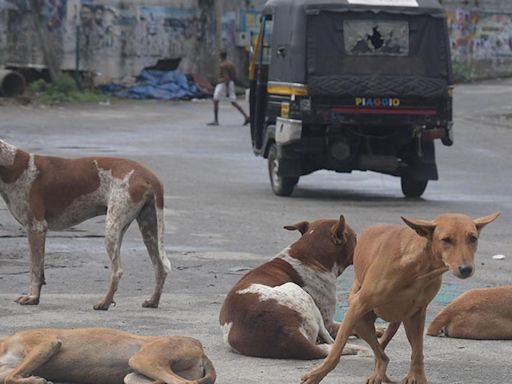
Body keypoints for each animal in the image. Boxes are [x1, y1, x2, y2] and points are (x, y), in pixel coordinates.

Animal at [0, 140, 172, 310]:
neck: (12, 166)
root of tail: (150, 176)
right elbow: (40, 270)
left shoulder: (36, 227)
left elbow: (34, 269)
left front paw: (32, 297)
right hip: (148, 228)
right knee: (160, 268)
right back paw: (152, 301)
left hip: (112, 228)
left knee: (117, 271)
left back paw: (105, 303)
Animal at [0, 328, 214, 384]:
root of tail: (201, 348)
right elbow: (9, 377)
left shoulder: (46, 344)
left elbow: (11, 377)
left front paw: (35, 380)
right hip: (132, 376)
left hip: (142, 358)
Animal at [218, 216, 366, 360]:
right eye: (355, 237)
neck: (309, 257)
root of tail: (288, 330)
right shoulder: (329, 322)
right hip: (297, 291)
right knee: (331, 341)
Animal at [300, 212, 500, 382]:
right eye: (446, 240)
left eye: (472, 238)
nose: (466, 269)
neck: (420, 268)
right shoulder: (358, 306)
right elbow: (336, 352)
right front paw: (316, 375)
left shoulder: (418, 314)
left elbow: (418, 352)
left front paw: (417, 377)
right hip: (359, 320)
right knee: (381, 352)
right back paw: (378, 373)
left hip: (404, 322)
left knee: (391, 350)